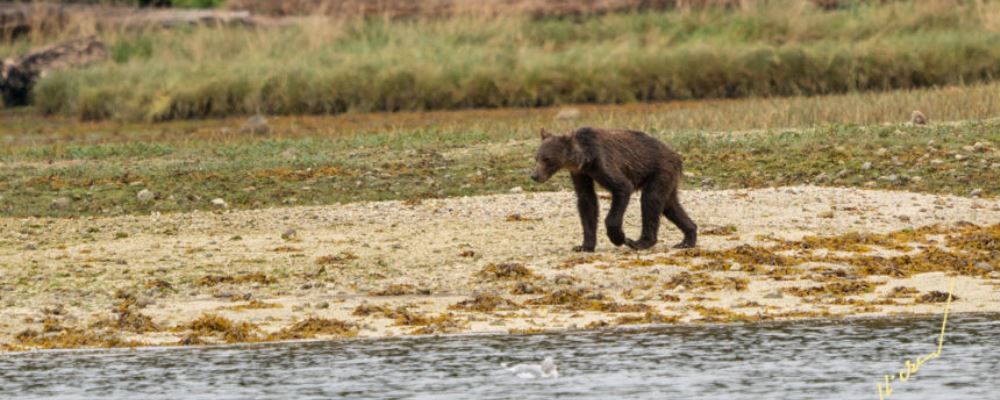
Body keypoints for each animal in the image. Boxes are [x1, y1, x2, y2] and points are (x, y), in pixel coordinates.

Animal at [529, 127, 697, 252]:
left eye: (547, 159)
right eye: (536, 158)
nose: (534, 175)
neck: (585, 158)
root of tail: (677, 155)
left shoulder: (603, 162)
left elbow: (622, 188)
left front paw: (618, 237)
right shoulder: (580, 173)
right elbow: (587, 201)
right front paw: (584, 246)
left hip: (660, 170)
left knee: (651, 199)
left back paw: (639, 242)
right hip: (667, 178)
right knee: (670, 205)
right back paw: (687, 239)